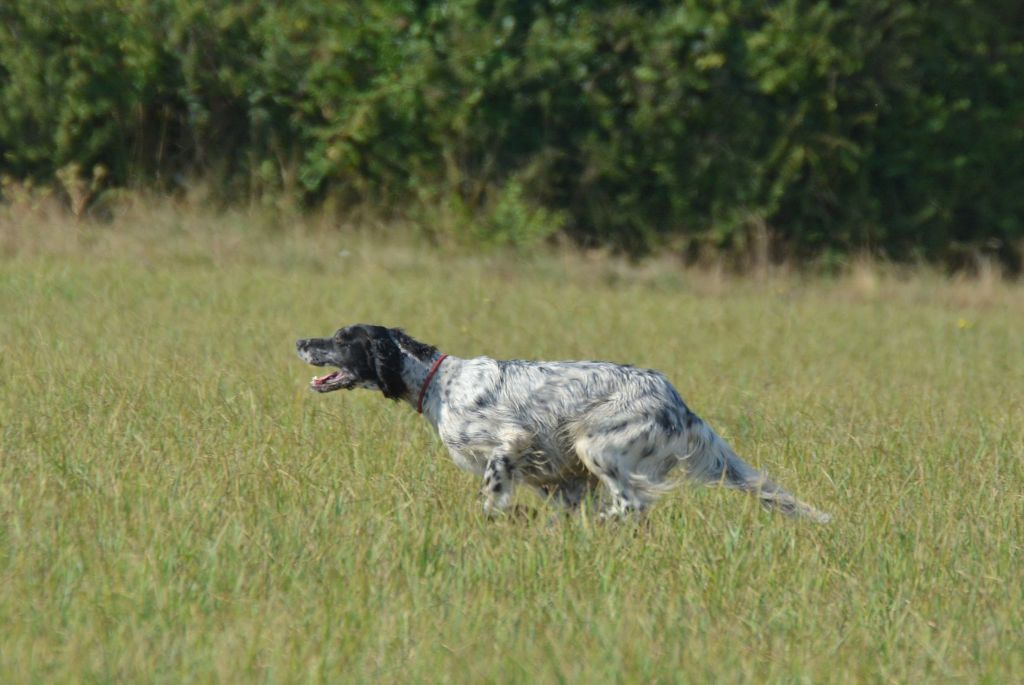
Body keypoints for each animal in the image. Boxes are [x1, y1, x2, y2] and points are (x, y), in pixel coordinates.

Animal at [296, 323, 831, 520]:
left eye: (343, 338)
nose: (301, 341)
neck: (438, 383)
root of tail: (679, 405)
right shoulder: (562, 479)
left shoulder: (509, 442)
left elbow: (492, 494)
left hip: (598, 445)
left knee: (631, 504)